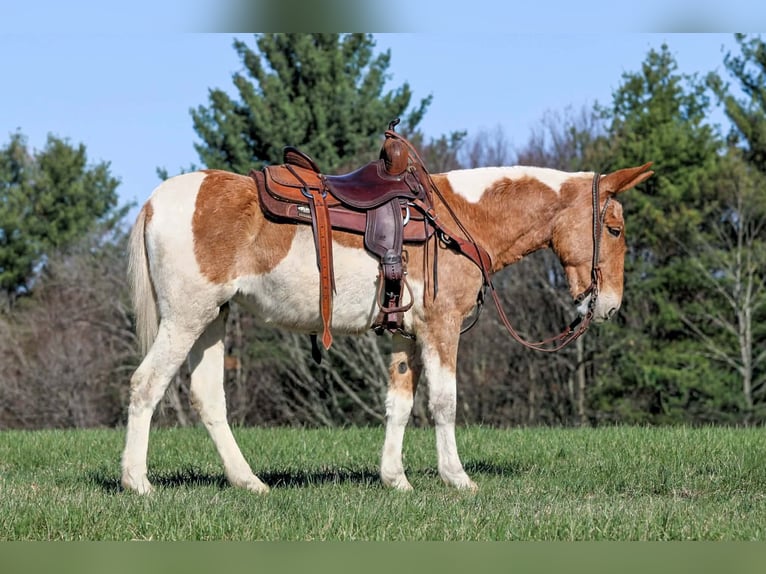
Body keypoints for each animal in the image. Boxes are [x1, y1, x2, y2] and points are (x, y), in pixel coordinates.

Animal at [120, 157, 653, 494]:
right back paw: (137, 482)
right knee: (146, 385)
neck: (461, 220)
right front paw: (457, 478)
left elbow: (400, 404)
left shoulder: (406, 337)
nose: (609, 306)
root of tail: (155, 201)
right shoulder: (441, 328)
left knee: (208, 398)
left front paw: (396, 479)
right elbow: (443, 403)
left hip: (213, 319)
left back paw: (248, 482)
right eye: (615, 230)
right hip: (186, 317)